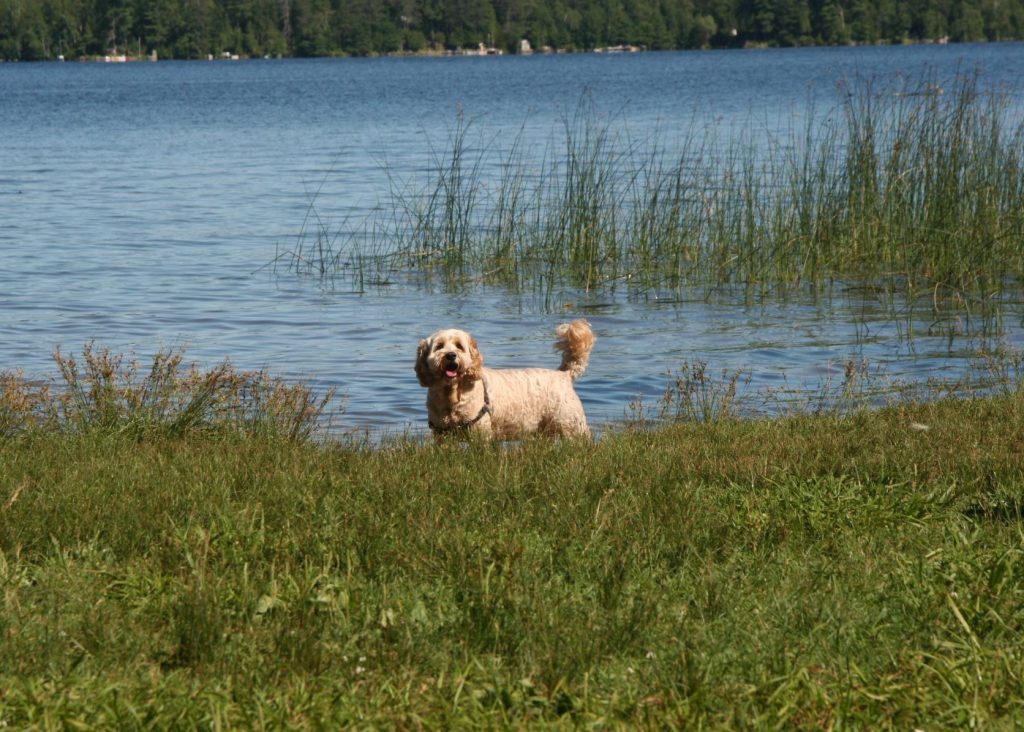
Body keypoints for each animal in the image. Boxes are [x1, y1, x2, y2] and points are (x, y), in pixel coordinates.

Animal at [413, 317, 598, 438]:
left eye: (459, 346)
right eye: (439, 346)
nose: (451, 355)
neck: (452, 394)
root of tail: (563, 374)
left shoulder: (480, 431)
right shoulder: (440, 433)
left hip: (572, 424)